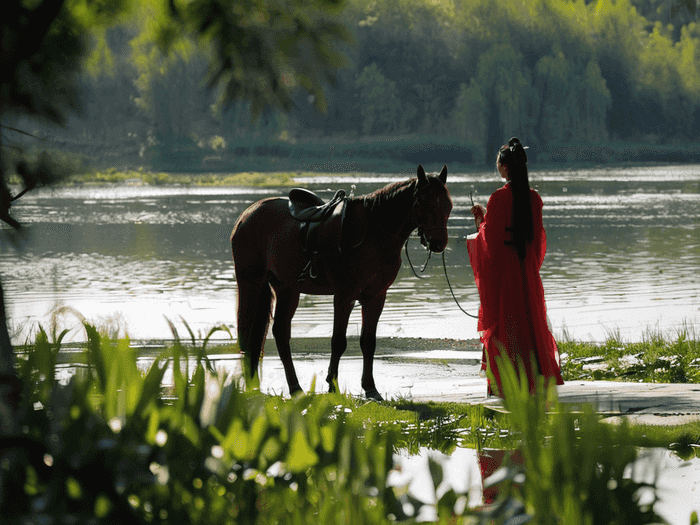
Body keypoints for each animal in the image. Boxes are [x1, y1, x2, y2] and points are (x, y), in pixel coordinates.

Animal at [231, 162, 454, 400]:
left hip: (287, 289)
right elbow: (338, 342)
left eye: (448, 205)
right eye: (423, 203)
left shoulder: (376, 296)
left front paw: (370, 388)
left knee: (280, 333)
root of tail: (247, 215)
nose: (438, 242)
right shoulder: (345, 295)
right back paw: (253, 387)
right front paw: (333, 385)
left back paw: (293, 388)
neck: (372, 232)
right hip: (251, 283)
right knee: (247, 332)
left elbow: (368, 342)